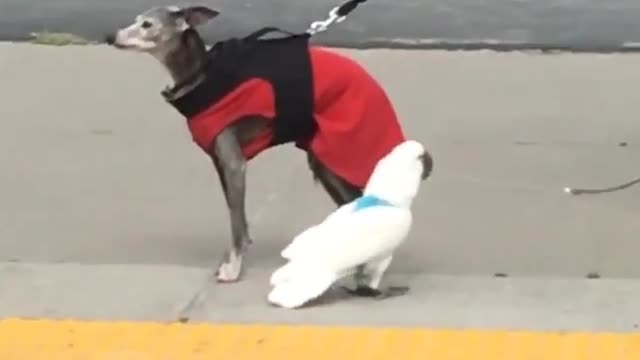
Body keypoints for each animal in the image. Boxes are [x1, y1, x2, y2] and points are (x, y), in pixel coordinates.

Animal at [106, 4, 436, 290]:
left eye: (147, 24)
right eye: (136, 19)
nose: (110, 37)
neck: (202, 76)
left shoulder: (233, 162)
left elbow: (236, 222)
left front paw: (233, 269)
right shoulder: (221, 162)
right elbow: (237, 218)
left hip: (338, 155)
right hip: (325, 161)